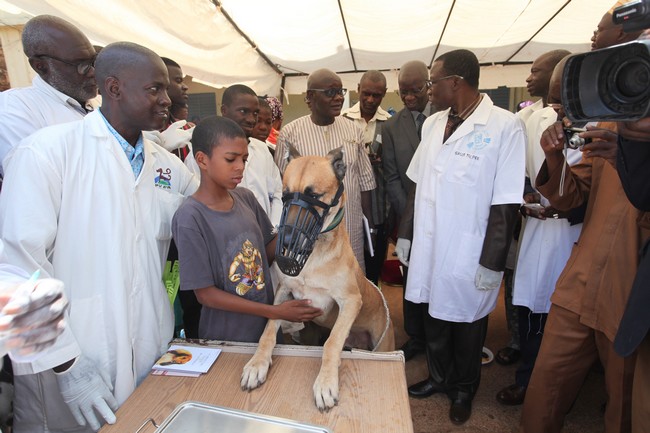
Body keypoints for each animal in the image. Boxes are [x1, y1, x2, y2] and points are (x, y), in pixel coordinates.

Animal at [238, 146, 390, 412]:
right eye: (285, 195)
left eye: (314, 195)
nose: (287, 242)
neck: (314, 255)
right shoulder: (284, 292)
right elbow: (269, 329)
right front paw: (257, 363)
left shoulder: (351, 301)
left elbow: (332, 341)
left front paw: (326, 382)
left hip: (381, 344)